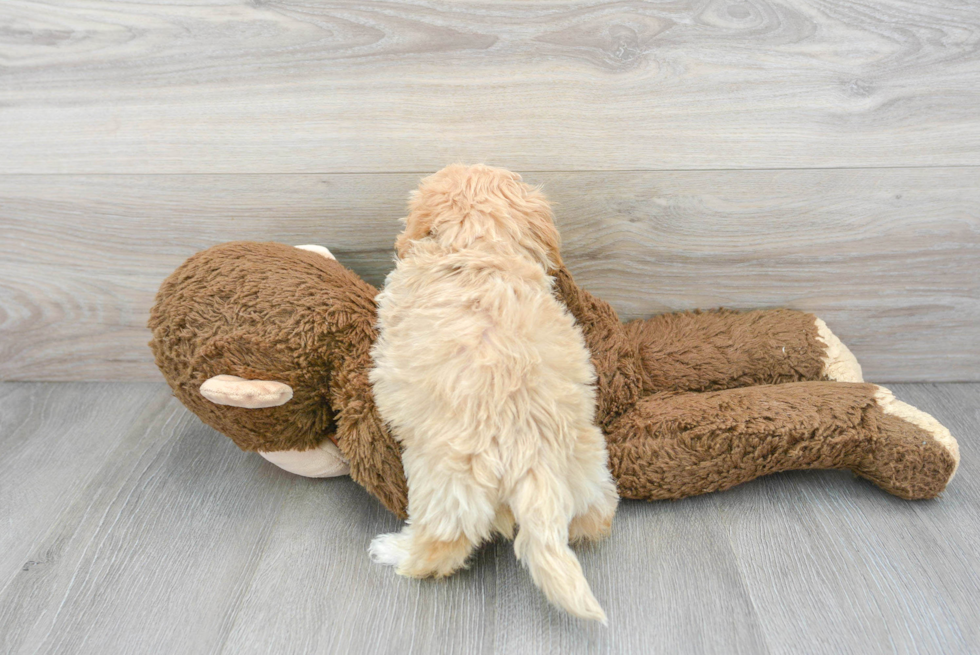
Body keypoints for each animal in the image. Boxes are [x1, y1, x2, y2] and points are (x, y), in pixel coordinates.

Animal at [372, 164, 616, 624]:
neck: (479, 244)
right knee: (595, 515)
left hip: (446, 485)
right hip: (590, 461)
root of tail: (533, 455)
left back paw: (394, 552)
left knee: (442, 546)